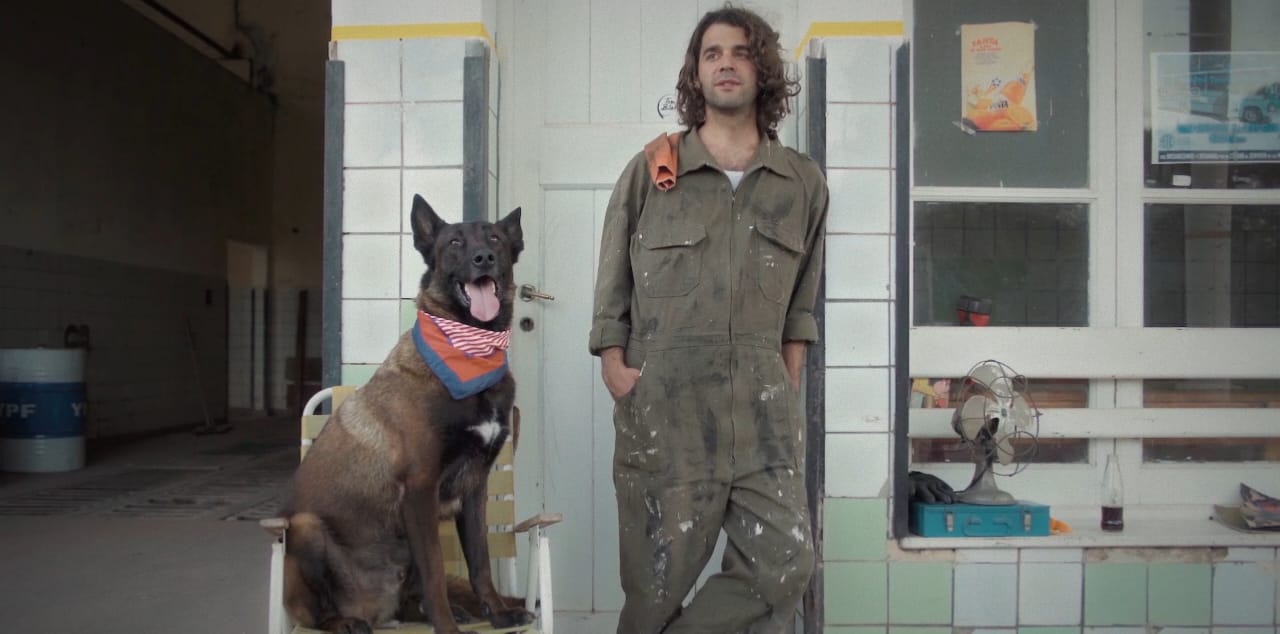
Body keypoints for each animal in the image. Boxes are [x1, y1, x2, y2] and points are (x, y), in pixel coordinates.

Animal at [278, 194, 533, 634]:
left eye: (495, 239)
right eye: (454, 243)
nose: (483, 258)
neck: (470, 352)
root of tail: (376, 611)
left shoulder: (474, 489)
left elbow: (481, 562)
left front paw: (497, 613)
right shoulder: (419, 489)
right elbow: (435, 571)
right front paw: (447, 627)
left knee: (409, 599)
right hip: (307, 528)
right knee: (314, 615)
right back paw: (346, 621)